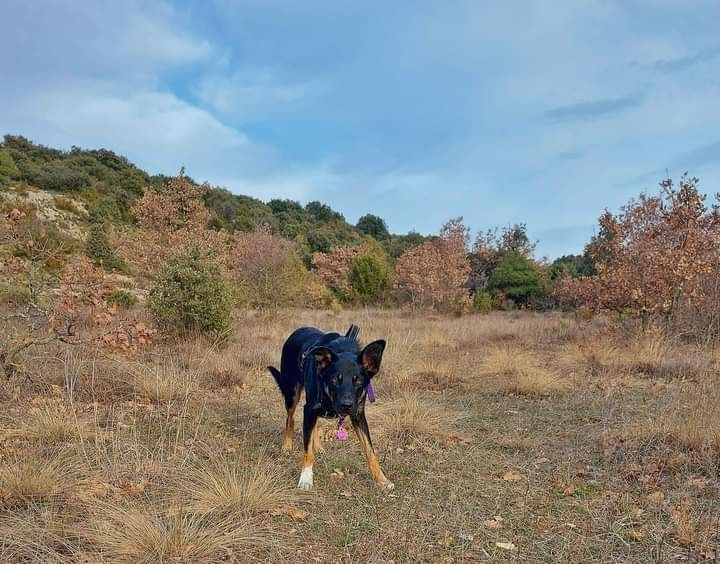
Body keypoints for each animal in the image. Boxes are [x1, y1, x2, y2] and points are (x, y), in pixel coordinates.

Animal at [268, 324, 394, 492]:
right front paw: (306, 478)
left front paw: (381, 479)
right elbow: (307, 451)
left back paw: (318, 446)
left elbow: (370, 450)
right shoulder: (309, 409)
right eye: (335, 379)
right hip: (292, 392)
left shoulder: (358, 414)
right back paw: (287, 445)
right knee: (290, 418)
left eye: (358, 381)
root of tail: (300, 329)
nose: (346, 405)